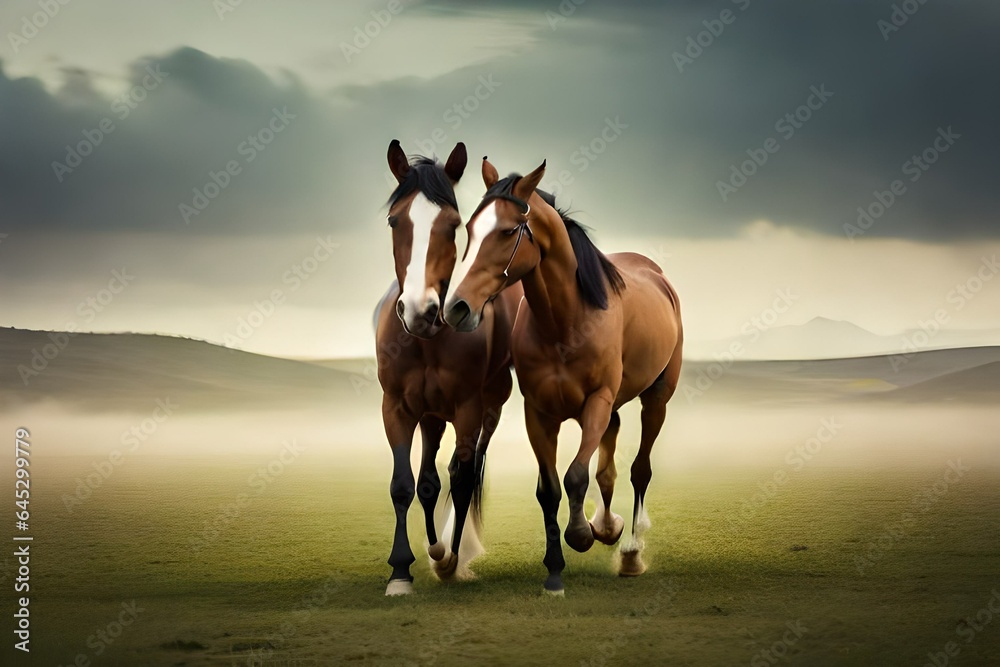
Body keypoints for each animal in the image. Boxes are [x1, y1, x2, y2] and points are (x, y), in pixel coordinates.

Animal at [375, 140, 522, 595]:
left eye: (454, 225)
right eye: (395, 221)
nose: (419, 310)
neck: (426, 341)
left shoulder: (468, 409)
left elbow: (460, 478)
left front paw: (449, 559)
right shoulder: (396, 409)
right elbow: (404, 485)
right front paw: (400, 571)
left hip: (486, 409)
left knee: (466, 471)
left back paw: (452, 553)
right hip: (431, 416)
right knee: (429, 480)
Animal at [442, 157, 683, 594]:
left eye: (507, 231)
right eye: (470, 227)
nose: (457, 308)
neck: (566, 322)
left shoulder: (596, 403)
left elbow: (574, 477)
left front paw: (581, 534)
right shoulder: (539, 413)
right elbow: (550, 489)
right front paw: (555, 568)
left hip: (655, 398)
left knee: (640, 471)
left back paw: (631, 551)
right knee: (608, 469)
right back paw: (608, 525)